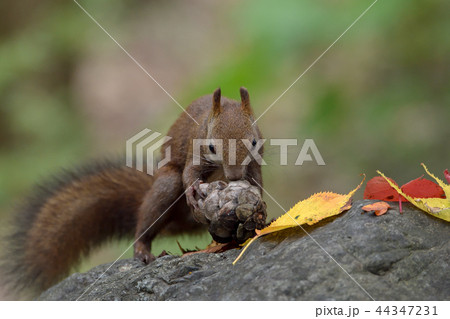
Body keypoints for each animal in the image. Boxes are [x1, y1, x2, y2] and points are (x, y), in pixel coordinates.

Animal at [1, 87, 264, 298]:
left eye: (253, 142)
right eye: (211, 146)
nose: (234, 177)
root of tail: (181, 220)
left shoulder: (255, 162)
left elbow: (257, 179)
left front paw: (257, 204)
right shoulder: (195, 150)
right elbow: (189, 173)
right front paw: (192, 193)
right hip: (165, 188)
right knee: (147, 221)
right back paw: (144, 250)